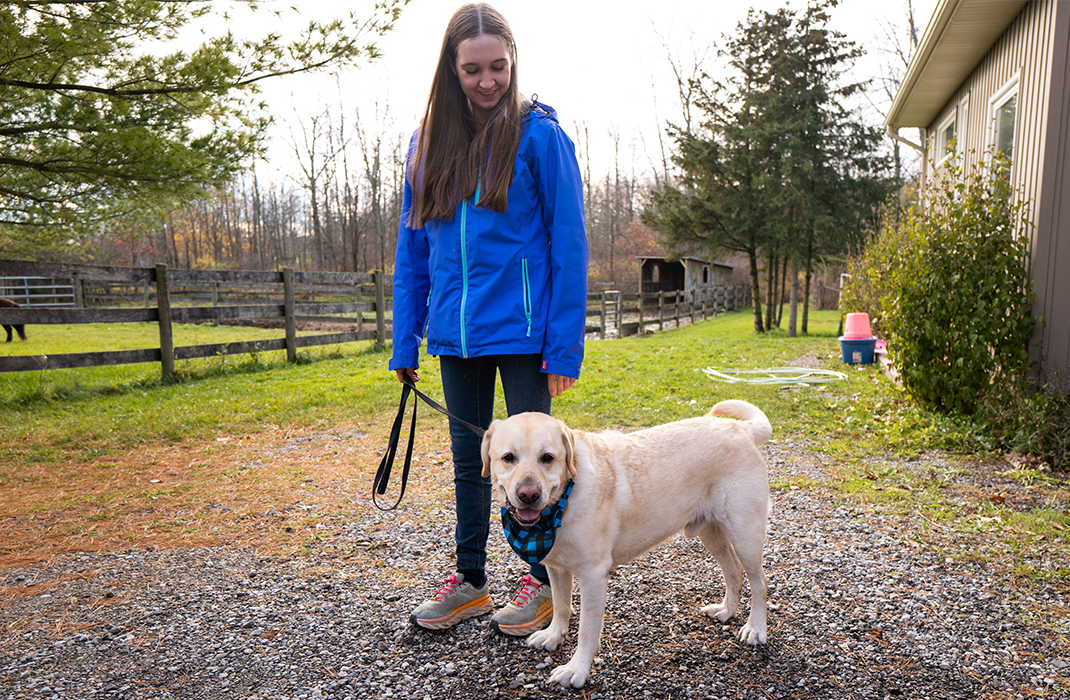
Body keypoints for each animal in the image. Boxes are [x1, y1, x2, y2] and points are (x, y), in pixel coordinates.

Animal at [483, 402, 770, 689]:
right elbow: (561, 606)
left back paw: (756, 628)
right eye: (508, 457)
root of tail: (742, 429)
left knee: (759, 584)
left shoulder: (593, 576)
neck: (561, 504)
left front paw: (577, 669)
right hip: (712, 533)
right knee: (733, 570)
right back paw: (726, 611)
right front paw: (553, 635)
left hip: (745, 534)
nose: (528, 495)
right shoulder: (556, 567)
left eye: (547, 458)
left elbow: (587, 631)